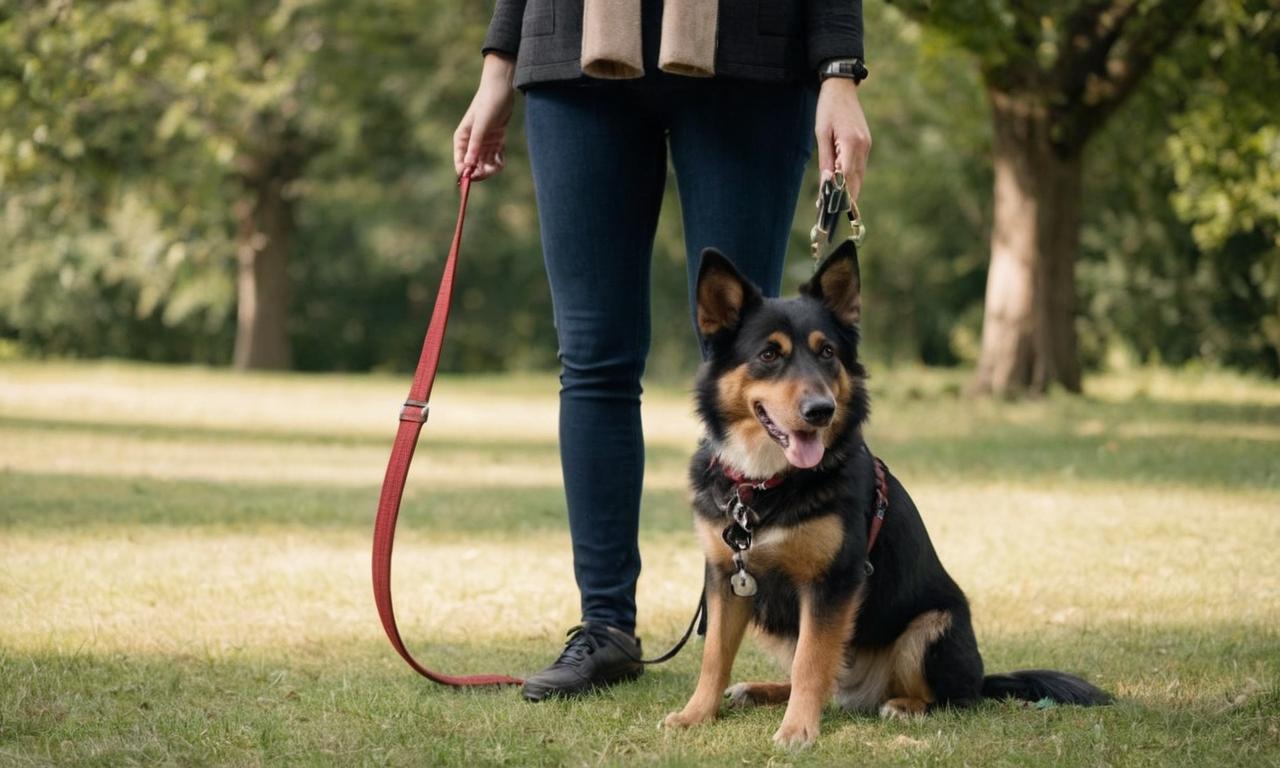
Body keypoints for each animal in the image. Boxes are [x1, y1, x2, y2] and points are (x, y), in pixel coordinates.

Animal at [660, 243, 1111, 747]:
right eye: (769, 354)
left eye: (828, 352)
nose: (820, 411)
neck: (767, 482)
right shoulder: (725, 578)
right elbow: (715, 658)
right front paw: (696, 714)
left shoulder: (833, 583)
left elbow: (812, 662)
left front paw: (798, 729)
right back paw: (761, 690)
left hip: (932, 626)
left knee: (953, 697)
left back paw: (905, 706)